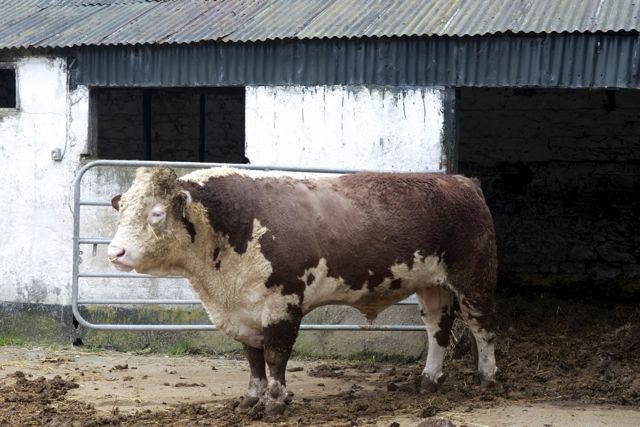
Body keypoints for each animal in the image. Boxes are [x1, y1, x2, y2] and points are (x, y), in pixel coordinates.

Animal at [107, 167, 498, 416]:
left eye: (156, 213)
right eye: (122, 210)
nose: (115, 252)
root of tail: (462, 181)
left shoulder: (283, 303)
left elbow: (276, 356)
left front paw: (275, 402)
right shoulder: (244, 311)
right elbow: (253, 359)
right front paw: (251, 398)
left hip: (474, 278)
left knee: (482, 327)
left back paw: (488, 378)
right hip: (432, 285)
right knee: (437, 331)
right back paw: (428, 380)